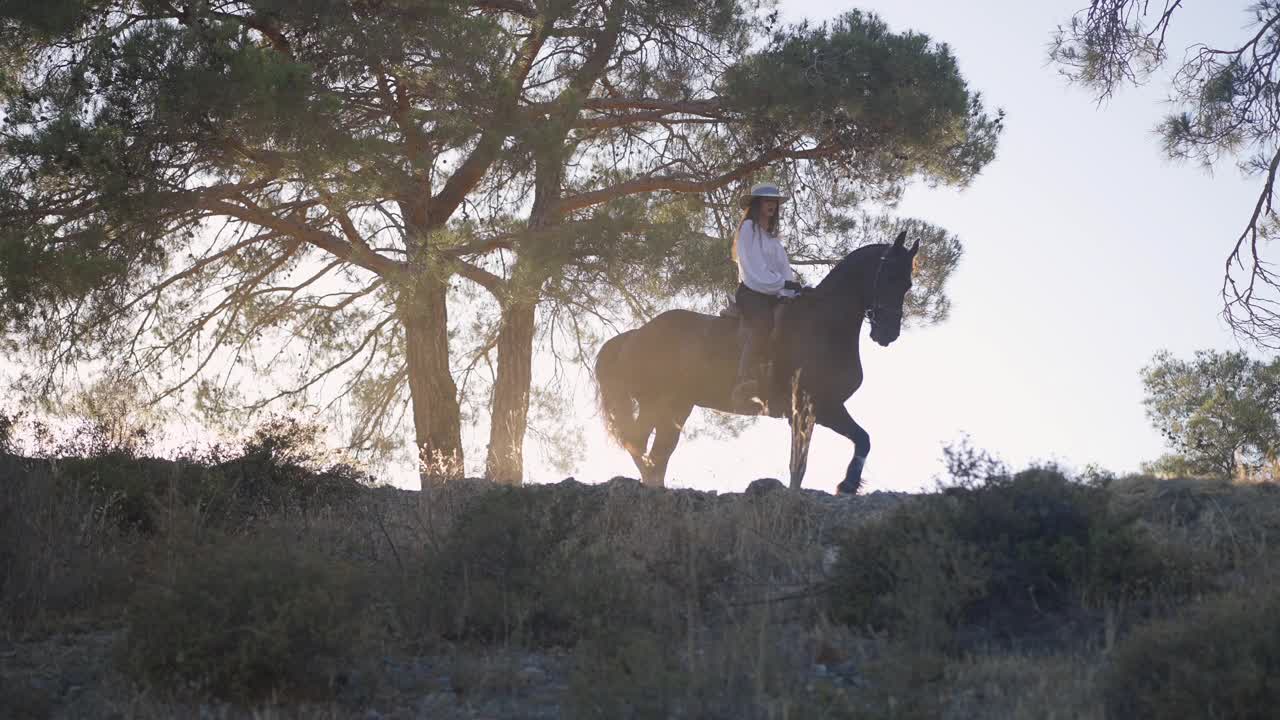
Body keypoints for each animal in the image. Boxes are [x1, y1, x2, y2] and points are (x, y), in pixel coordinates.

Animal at [593, 229, 916, 491]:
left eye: (907, 284)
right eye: (889, 276)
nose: (887, 333)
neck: (823, 324)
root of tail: (632, 336)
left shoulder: (819, 410)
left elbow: (852, 443)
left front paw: (846, 485)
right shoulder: (817, 406)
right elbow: (814, 459)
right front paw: (845, 485)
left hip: (676, 408)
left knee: (657, 452)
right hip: (654, 403)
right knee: (639, 443)